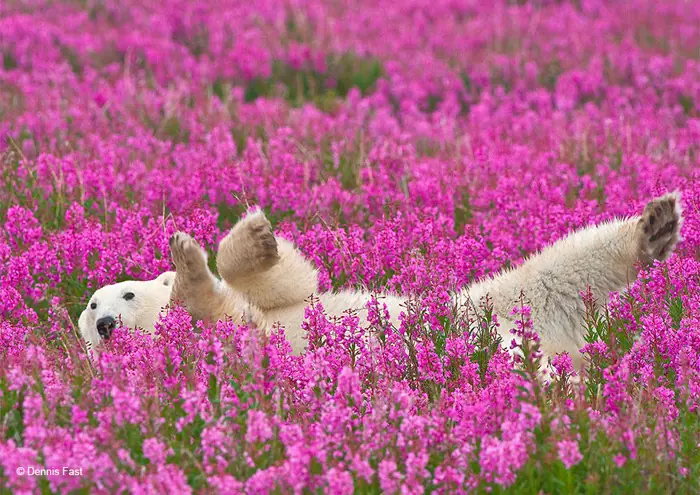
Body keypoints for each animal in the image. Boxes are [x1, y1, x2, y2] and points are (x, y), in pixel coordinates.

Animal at [78, 193, 682, 370]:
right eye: (90, 307)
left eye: (124, 293)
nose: (106, 323)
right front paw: (189, 267)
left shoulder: (272, 307)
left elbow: (291, 284)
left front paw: (242, 239)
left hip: (487, 304)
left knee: (559, 268)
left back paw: (655, 224)